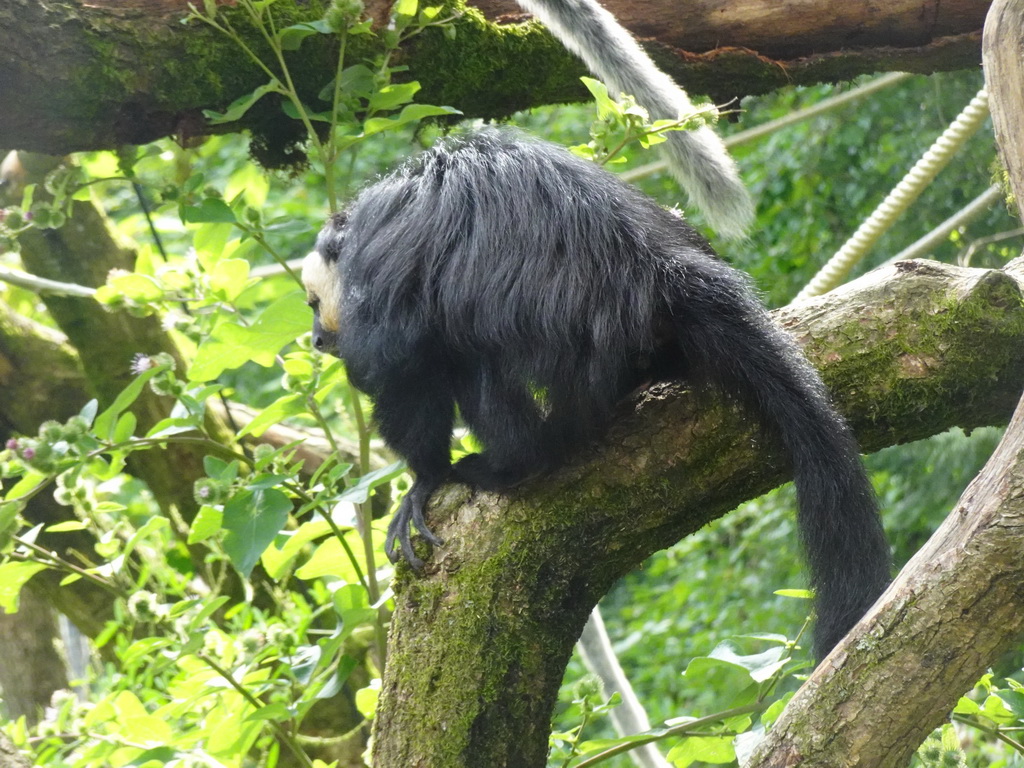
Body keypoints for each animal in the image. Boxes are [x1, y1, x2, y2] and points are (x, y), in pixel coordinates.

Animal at [301, 129, 888, 659]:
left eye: (311, 304)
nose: (315, 338)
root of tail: (659, 266)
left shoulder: (377, 264)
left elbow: (396, 361)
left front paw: (425, 480)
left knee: (469, 353)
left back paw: (513, 464)